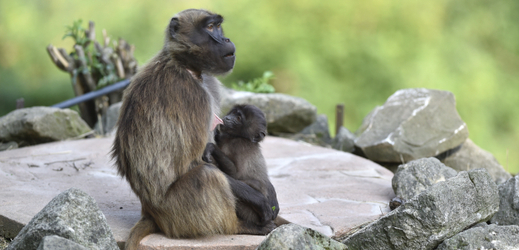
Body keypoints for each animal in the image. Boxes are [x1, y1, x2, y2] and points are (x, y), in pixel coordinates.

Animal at [112, 8, 278, 249]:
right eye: (209, 27)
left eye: (218, 26)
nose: (227, 40)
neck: (186, 66)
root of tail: (149, 212)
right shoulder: (192, 95)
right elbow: (196, 161)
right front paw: (258, 198)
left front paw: (270, 192)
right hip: (174, 212)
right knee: (207, 176)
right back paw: (241, 226)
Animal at [204, 104, 292, 233]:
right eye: (233, 113)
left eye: (238, 118)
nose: (227, 118)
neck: (238, 136)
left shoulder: (237, 144)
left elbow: (234, 173)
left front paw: (212, 148)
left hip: (252, 214)